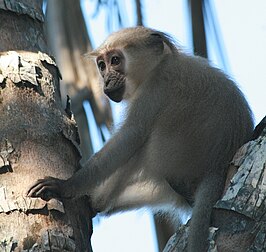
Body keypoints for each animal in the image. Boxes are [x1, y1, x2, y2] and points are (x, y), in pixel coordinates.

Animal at [27, 26, 254, 251]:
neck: (160, 63)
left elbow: (132, 136)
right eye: (102, 65)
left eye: (115, 61)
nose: (106, 81)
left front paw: (65, 186)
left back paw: (96, 202)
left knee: (140, 146)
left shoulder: (156, 85)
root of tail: (218, 165)